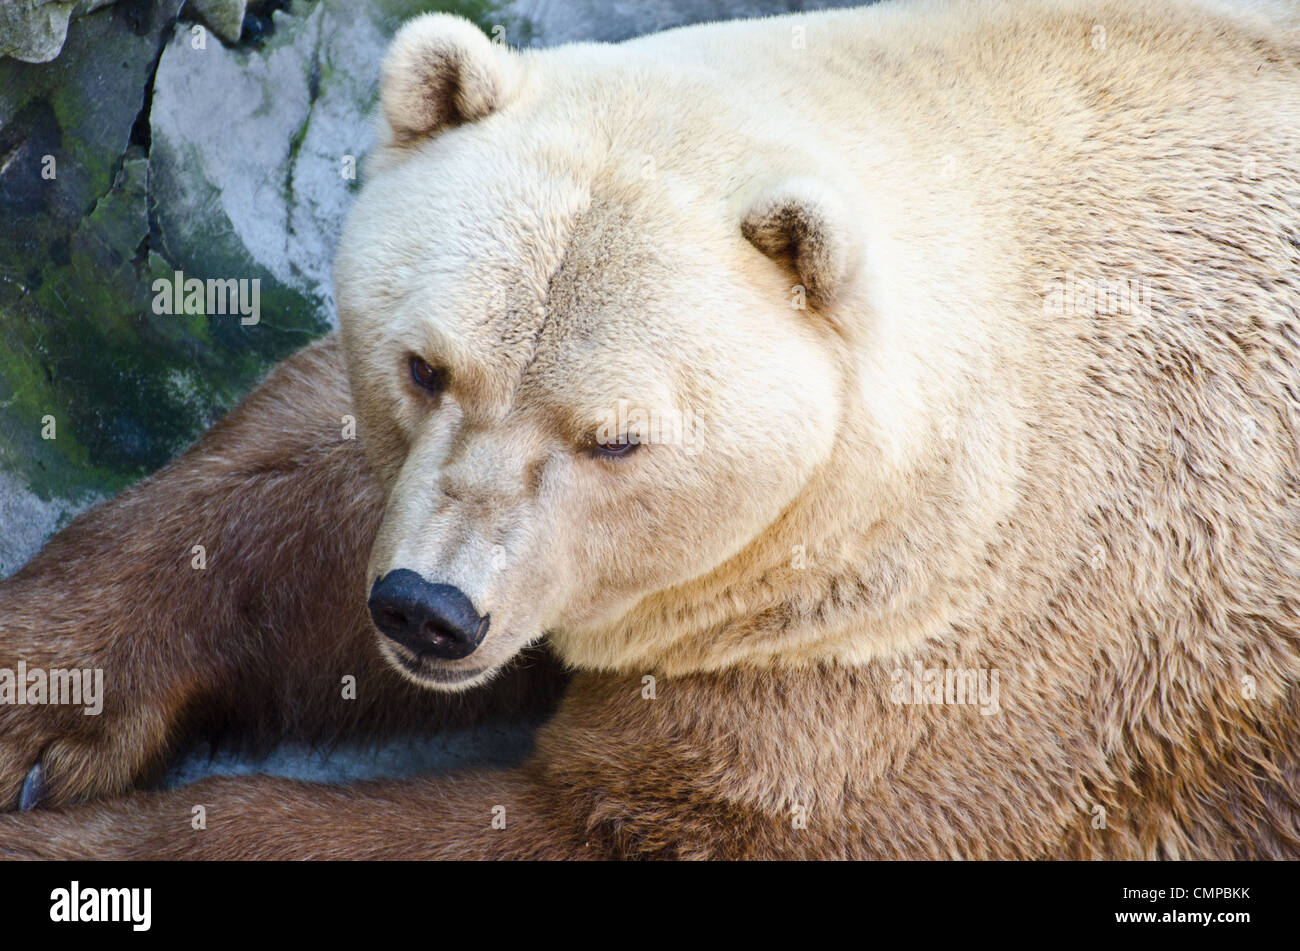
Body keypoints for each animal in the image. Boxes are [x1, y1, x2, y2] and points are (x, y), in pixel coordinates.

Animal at [2, 0, 1300, 862]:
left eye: (615, 440)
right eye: (424, 366)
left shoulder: (925, 673)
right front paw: (42, 708)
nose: (430, 610)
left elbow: (615, 819)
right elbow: (301, 492)